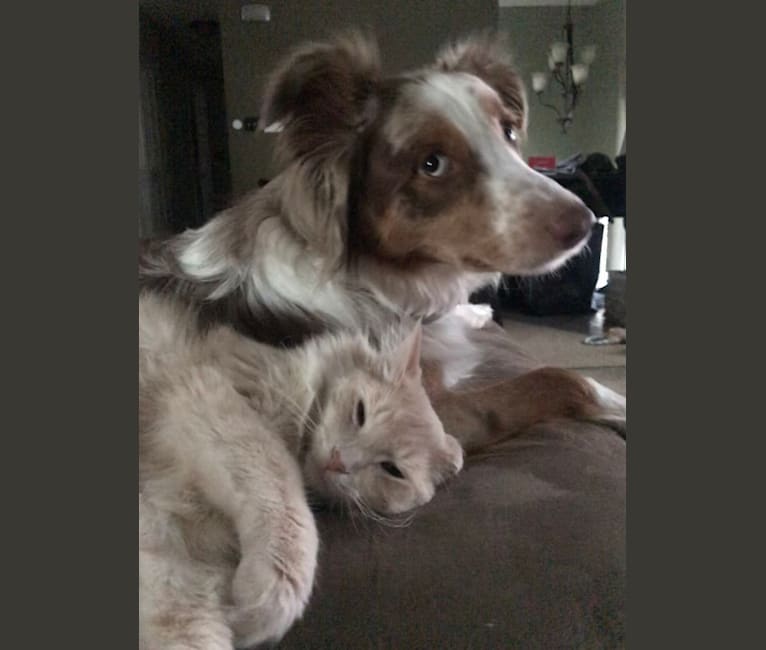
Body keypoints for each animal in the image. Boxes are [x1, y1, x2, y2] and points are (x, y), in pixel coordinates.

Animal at [138, 294, 462, 648]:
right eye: (360, 412)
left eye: (392, 470)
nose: (338, 460)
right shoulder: (208, 391)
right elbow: (283, 489)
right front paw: (267, 596)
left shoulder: (165, 548)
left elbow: (187, 620)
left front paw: (248, 618)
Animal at [141, 31, 628, 450]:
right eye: (432, 163)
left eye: (508, 131)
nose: (584, 223)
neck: (377, 280)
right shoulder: (422, 419)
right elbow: (561, 377)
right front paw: (618, 405)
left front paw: (475, 312)